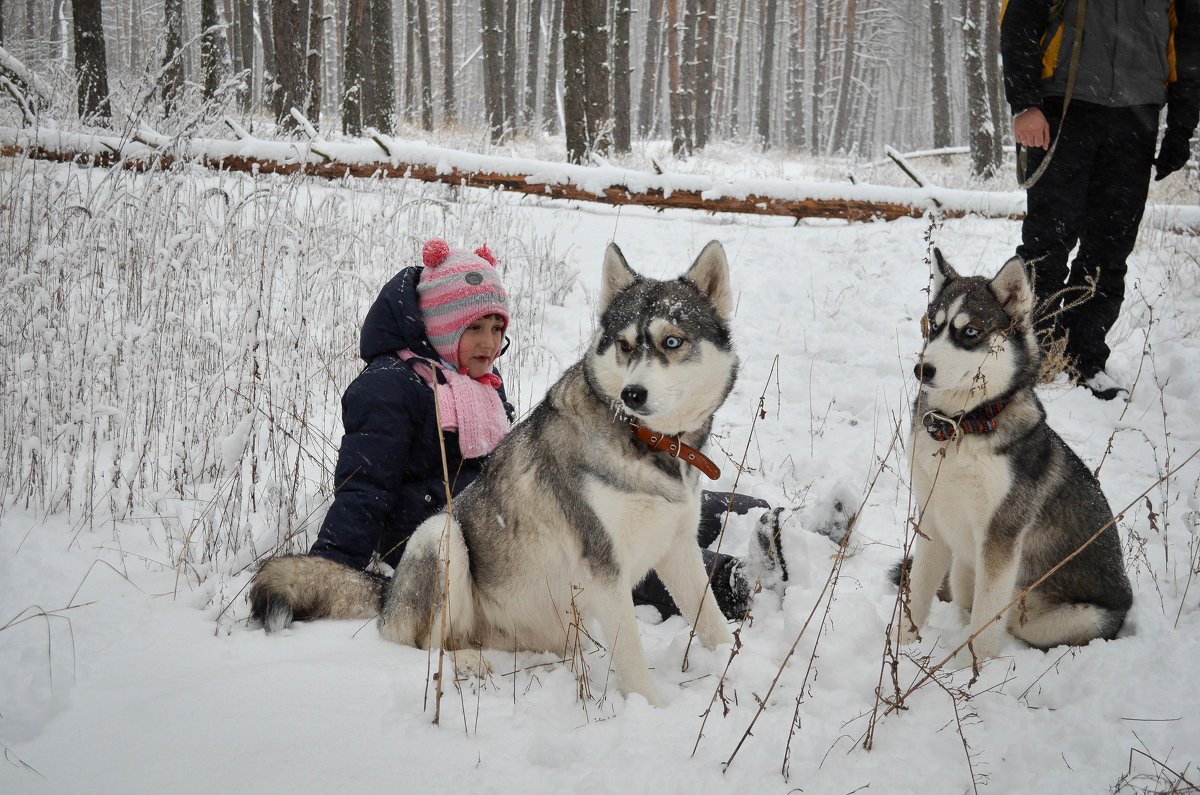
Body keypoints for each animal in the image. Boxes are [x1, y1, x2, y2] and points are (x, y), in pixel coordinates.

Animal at [250, 240, 739, 706]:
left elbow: (711, 620)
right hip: (439, 534)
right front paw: (649, 710)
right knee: (429, 645)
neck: (655, 445)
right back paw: (469, 662)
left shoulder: (677, 547)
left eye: (672, 341)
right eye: (624, 345)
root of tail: (388, 595)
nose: (632, 394)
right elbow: (633, 658)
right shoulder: (604, 566)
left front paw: (732, 666)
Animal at [902, 250, 1132, 658]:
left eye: (970, 332)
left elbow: (984, 629)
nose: (921, 369)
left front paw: (973, 671)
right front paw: (901, 647)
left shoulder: (1001, 539)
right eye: (934, 326)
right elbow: (917, 596)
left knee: (1006, 624)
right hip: (964, 569)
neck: (961, 427)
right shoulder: (932, 519)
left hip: (1077, 618)